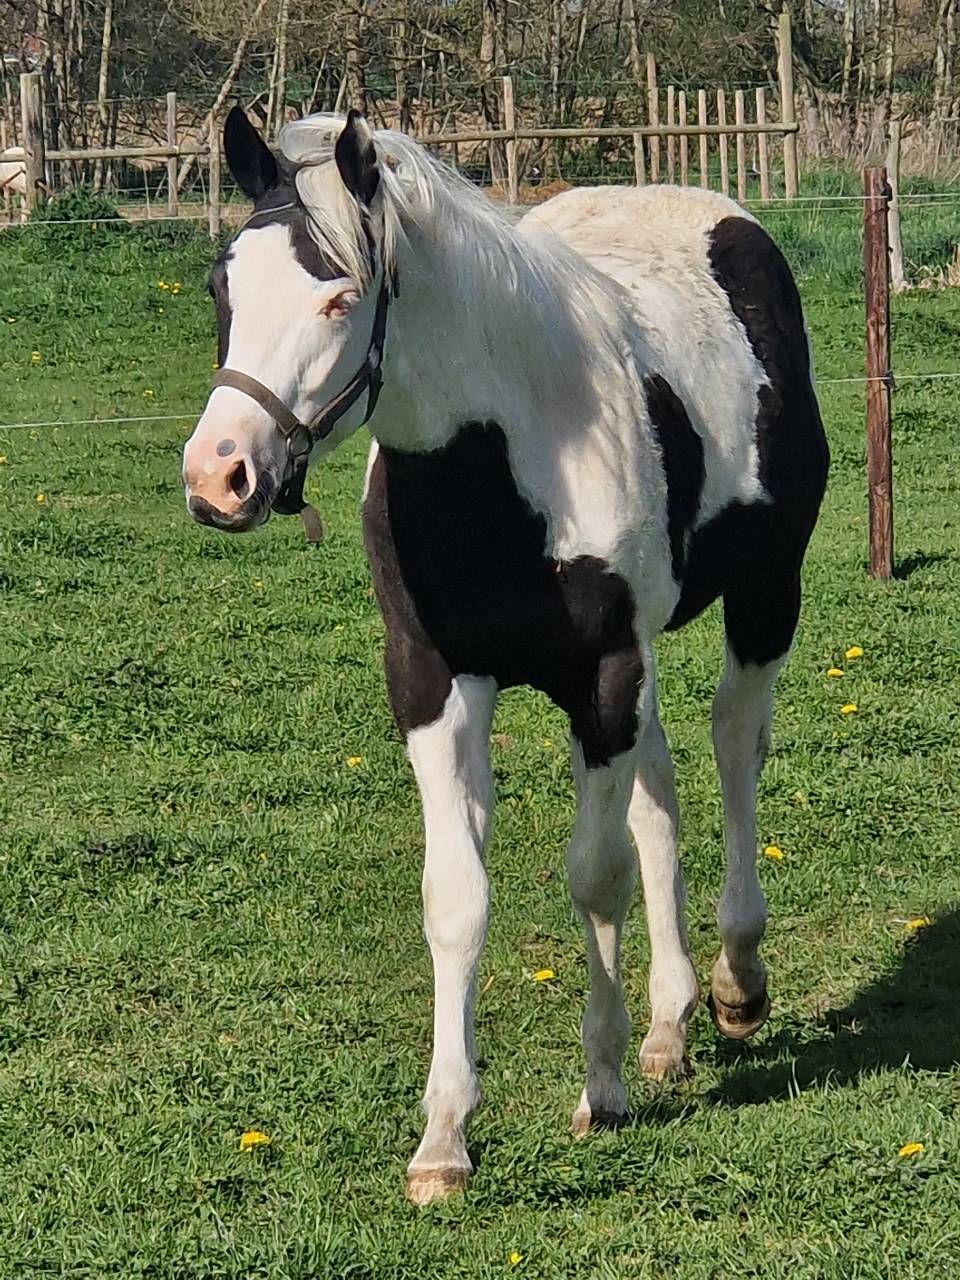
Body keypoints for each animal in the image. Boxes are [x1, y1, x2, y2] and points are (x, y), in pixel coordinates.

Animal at [182, 107, 829, 1205]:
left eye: (340, 293)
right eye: (224, 285)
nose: (218, 475)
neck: (507, 455)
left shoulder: (602, 675)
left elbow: (595, 875)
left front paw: (601, 1089)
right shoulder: (435, 684)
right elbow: (458, 899)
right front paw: (445, 1136)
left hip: (762, 595)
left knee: (736, 743)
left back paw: (738, 981)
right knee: (661, 791)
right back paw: (671, 1025)